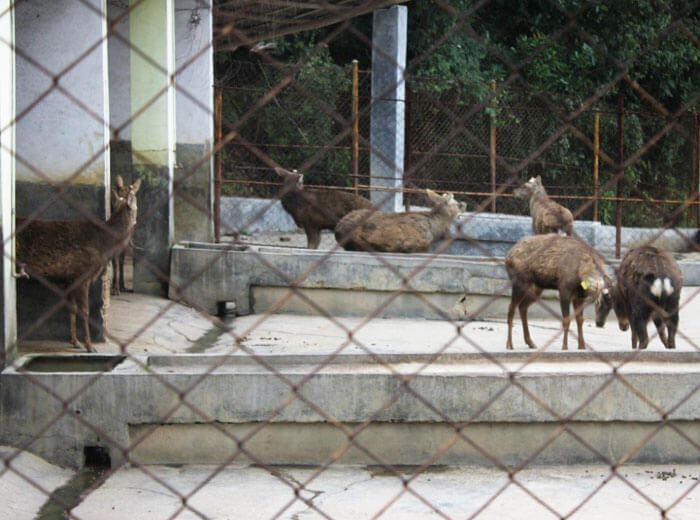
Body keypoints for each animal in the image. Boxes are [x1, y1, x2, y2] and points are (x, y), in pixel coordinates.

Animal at [16, 177, 142, 352]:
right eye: (136, 201)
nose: (136, 222)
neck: (104, 245)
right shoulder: (81, 274)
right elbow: (85, 310)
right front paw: (89, 346)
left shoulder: (70, 279)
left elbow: (72, 309)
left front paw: (75, 341)